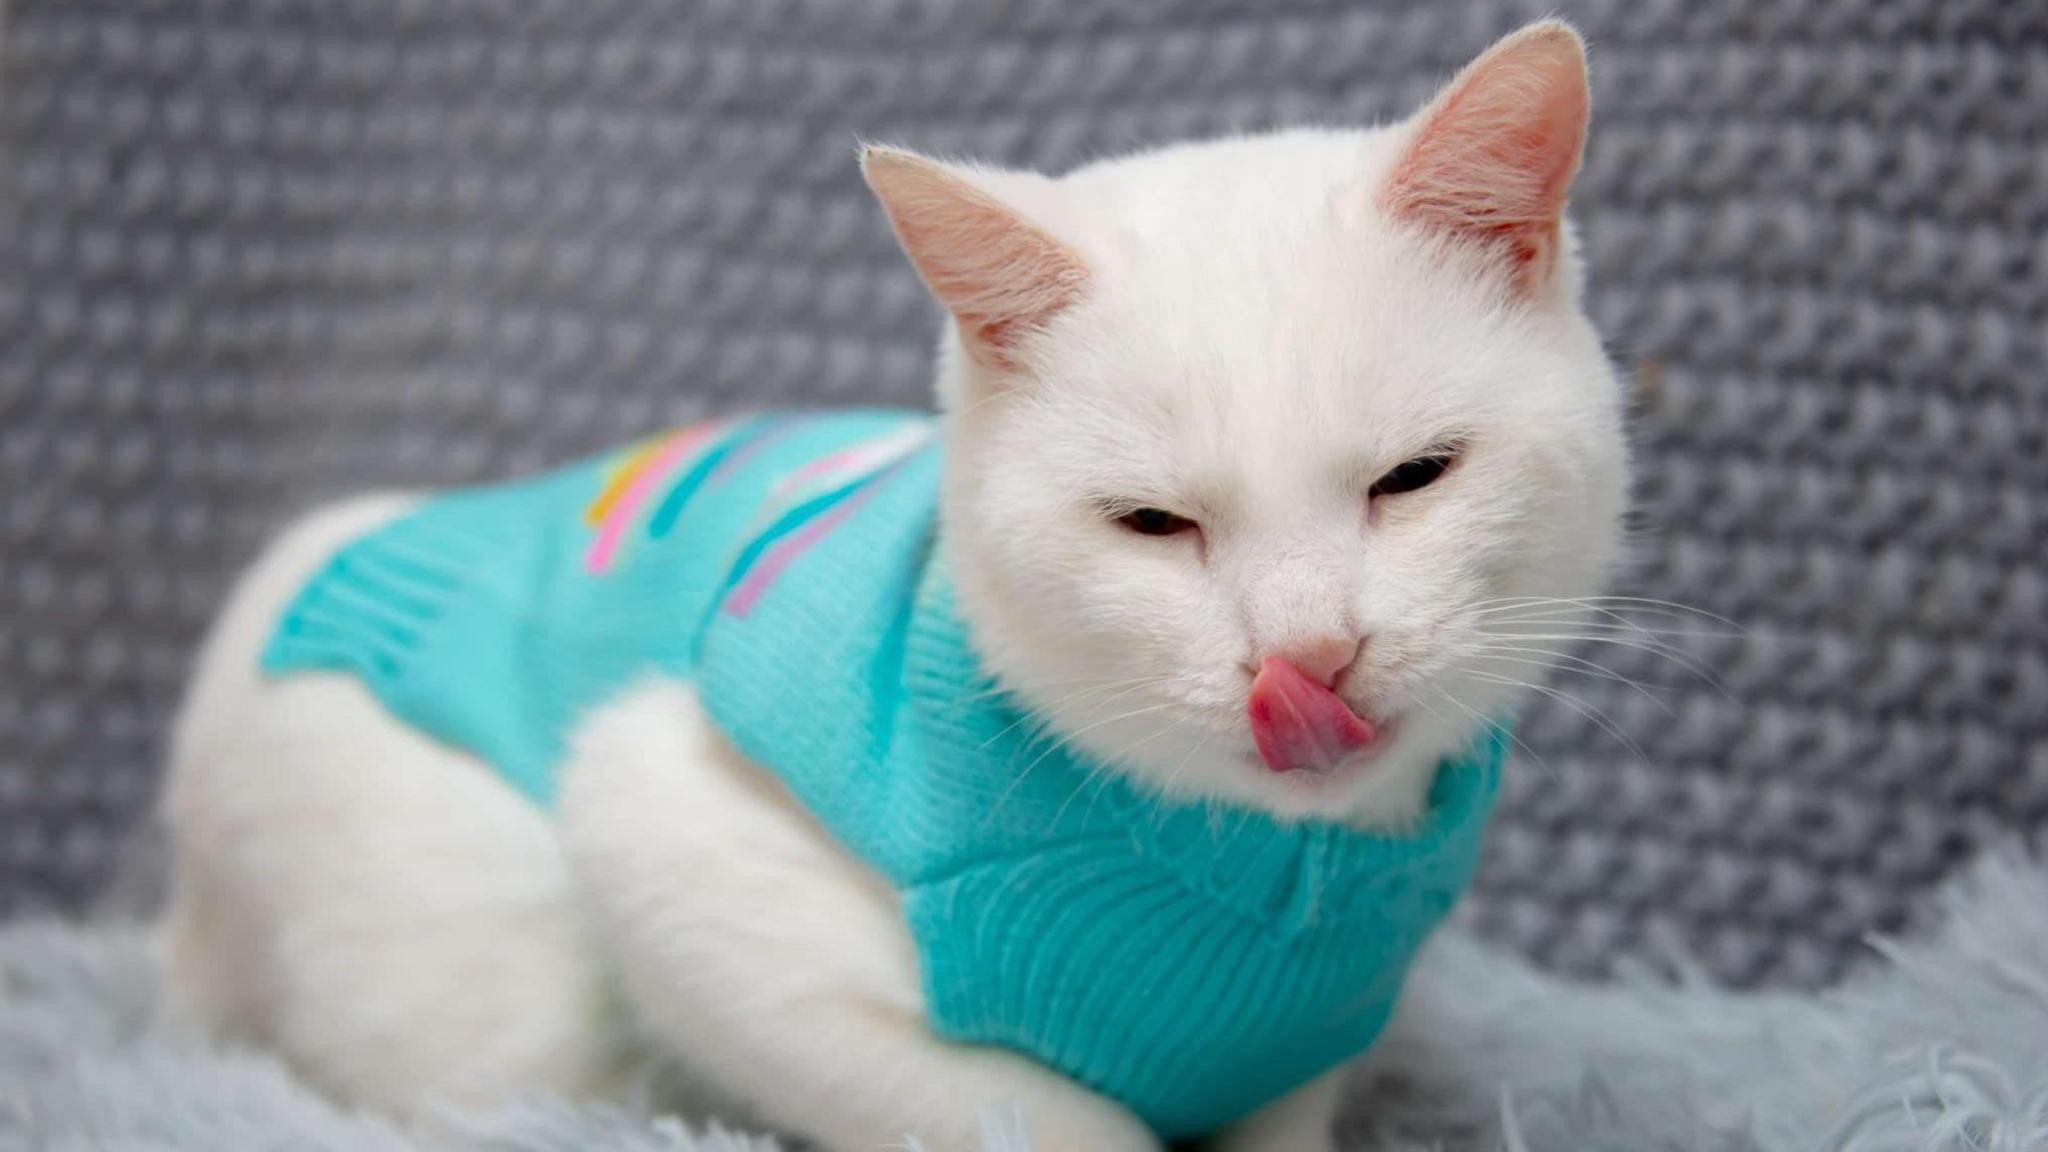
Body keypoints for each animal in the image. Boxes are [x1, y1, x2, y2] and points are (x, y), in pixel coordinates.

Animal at [159, 22, 1622, 1147]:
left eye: (1412, 478)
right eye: (1152, 524)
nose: (1306, 656)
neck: (1274, 865)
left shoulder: (1303, 1038)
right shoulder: (668, 829)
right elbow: (1038, 1119)